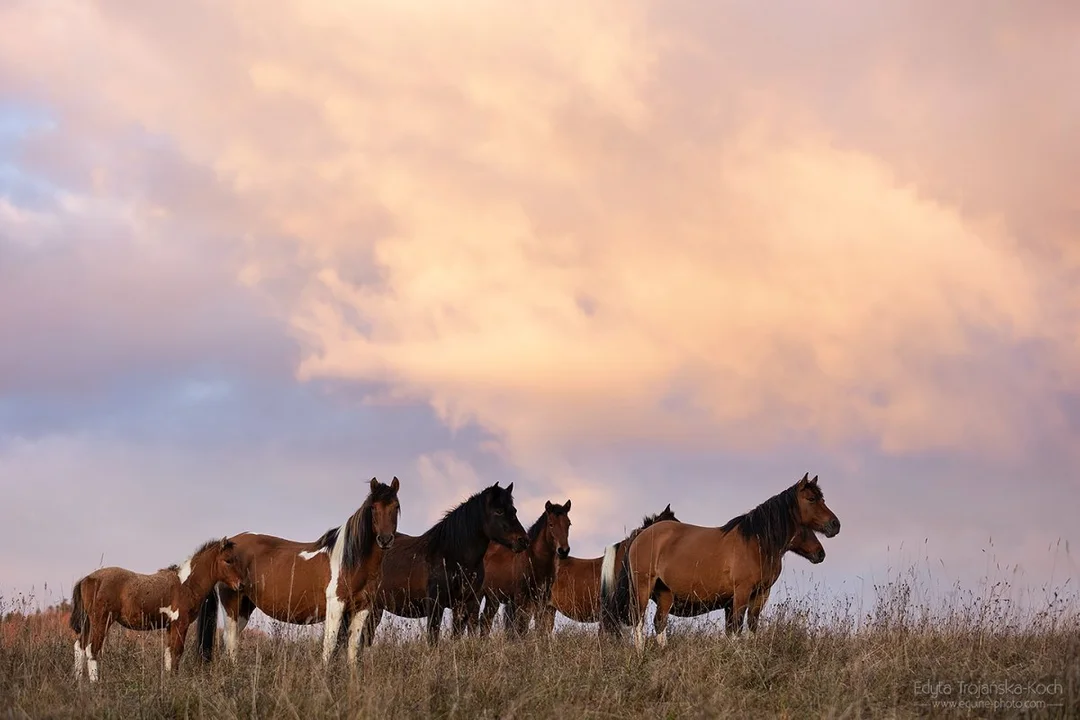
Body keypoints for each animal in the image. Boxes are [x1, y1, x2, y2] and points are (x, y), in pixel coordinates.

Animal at [72, 537, 246, 686]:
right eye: (228, 560)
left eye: (237, 560)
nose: (241, 585)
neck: (186, 585)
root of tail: (87, 579)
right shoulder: (180, 623)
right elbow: (177, 652)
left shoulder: (170, 626)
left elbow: (168, 653)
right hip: (101, 621)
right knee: (91, 648)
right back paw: (95, 683)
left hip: (89, 622)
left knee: (79, 646)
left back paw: (78, 681)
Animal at [196, 474, 399, 669]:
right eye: (373, 508)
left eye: (396, 507)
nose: (385, 540)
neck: (351, 560)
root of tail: (224, 547)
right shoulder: (336, 604)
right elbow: (330, 644)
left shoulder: (362, 608)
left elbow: (353, 647)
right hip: (232, 604)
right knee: (229, 639)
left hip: (245, 607)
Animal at [477, 500, 570, 634]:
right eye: (551, 524)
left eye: (568, 524)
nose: (563, 551)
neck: (533, 560)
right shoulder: (521, 599)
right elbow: (521, 627)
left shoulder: (542, 600)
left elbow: (540, 626)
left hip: (492, 598)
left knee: (485, 621)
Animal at [622, 472, 838, 651]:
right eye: (811, 499)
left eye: (822, 499)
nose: (835, 525)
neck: (755, 543)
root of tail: (642, 535)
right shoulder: (741, 593)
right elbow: (736, 627)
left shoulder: (761, 593)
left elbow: (751, 625)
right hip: (643, 587)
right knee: (639, 622)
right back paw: (640, 654)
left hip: (665, 593)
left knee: (660, 623)